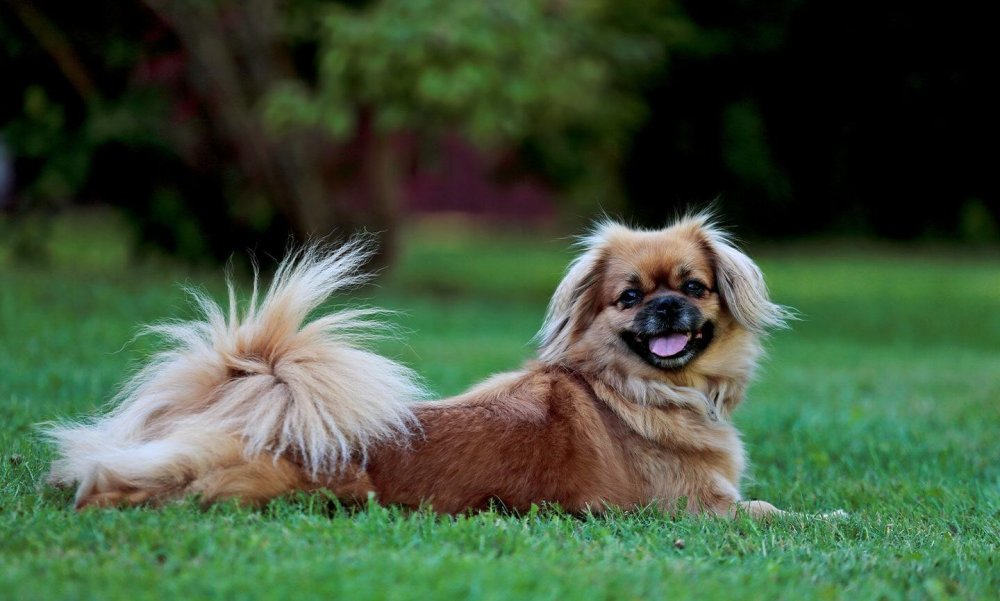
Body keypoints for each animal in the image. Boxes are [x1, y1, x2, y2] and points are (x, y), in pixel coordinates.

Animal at [47, 212, 800, 516]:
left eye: (693, 287)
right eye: (631, 297)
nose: (667, 308)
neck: (635, 387)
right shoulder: (697, 509)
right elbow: (777, 512)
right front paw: (821, 520)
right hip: (265, 483)